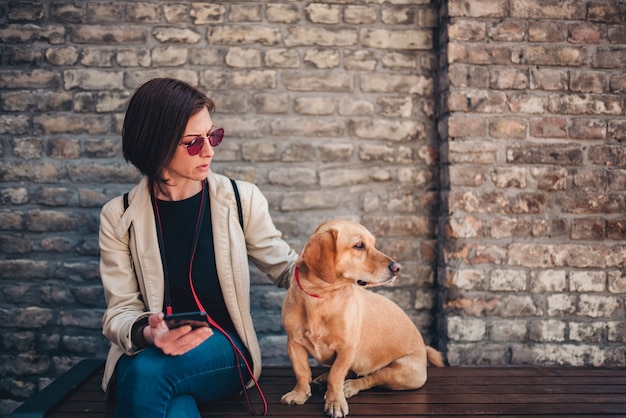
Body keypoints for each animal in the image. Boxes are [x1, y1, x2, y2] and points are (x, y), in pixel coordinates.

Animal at [280, 220, 442, 416]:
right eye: (359, 245)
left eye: (374, 244)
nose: (397, 268)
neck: (321, 297)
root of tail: (424, 350)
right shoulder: (294, 343)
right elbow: (302, 372)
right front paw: (300, 394)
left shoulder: (347, 348)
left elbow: (336, 375)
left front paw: (335, 402)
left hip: (401, 373)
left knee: (370, 378)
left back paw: (349, 387)